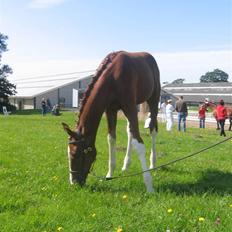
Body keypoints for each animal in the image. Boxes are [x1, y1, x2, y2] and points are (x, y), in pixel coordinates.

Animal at [62, 51, 160, 192]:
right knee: (130, 130)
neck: (113, 77)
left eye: (76, 154)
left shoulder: (129, 106)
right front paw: (109, 174)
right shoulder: (110, 109)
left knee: (153, 129)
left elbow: (139, 143)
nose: (74, 183)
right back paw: (126, 164)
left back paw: (153, 163)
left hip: (153, 99)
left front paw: (149, 185)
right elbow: (111, 138)